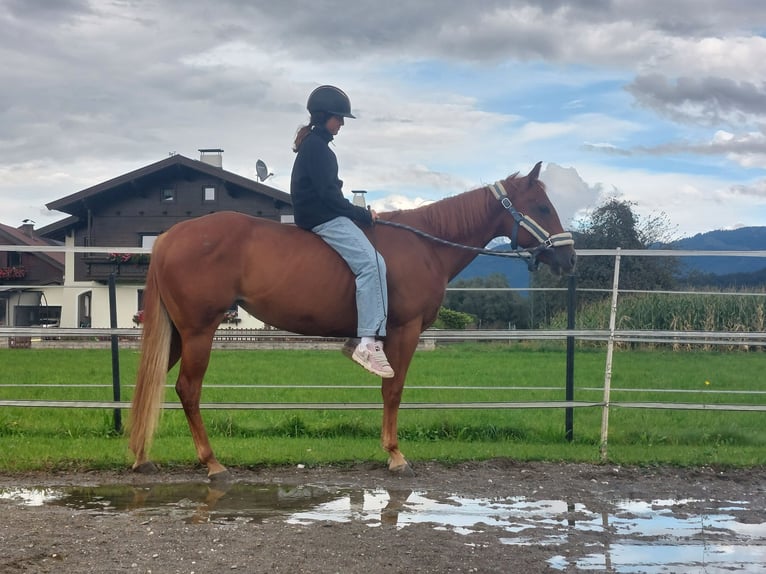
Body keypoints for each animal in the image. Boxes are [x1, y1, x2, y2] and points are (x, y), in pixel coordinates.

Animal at [130, 163, 576, 482]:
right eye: (541, 207)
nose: (569, 257)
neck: (425, 244)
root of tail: (168, 237)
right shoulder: (405, 331)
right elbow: (393, 391)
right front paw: (395, 455)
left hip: (178, 334)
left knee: (152, 383)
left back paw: (141, 456)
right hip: (198, 332)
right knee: (187, 390)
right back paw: (212, 463)